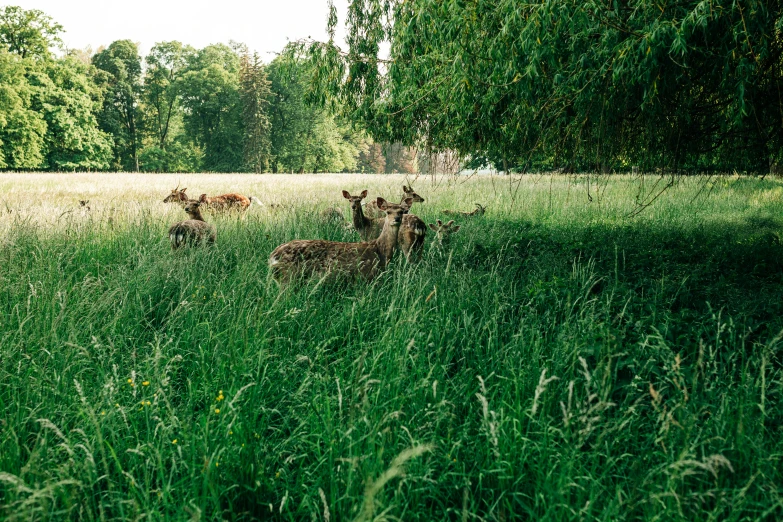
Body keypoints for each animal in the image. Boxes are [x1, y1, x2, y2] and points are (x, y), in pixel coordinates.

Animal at [266, 196, 408, 284]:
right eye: (388, 212)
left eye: (401, 211)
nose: (396, 219)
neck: (380, 250)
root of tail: (273, 256)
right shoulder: (365, 276)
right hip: (288, 277)